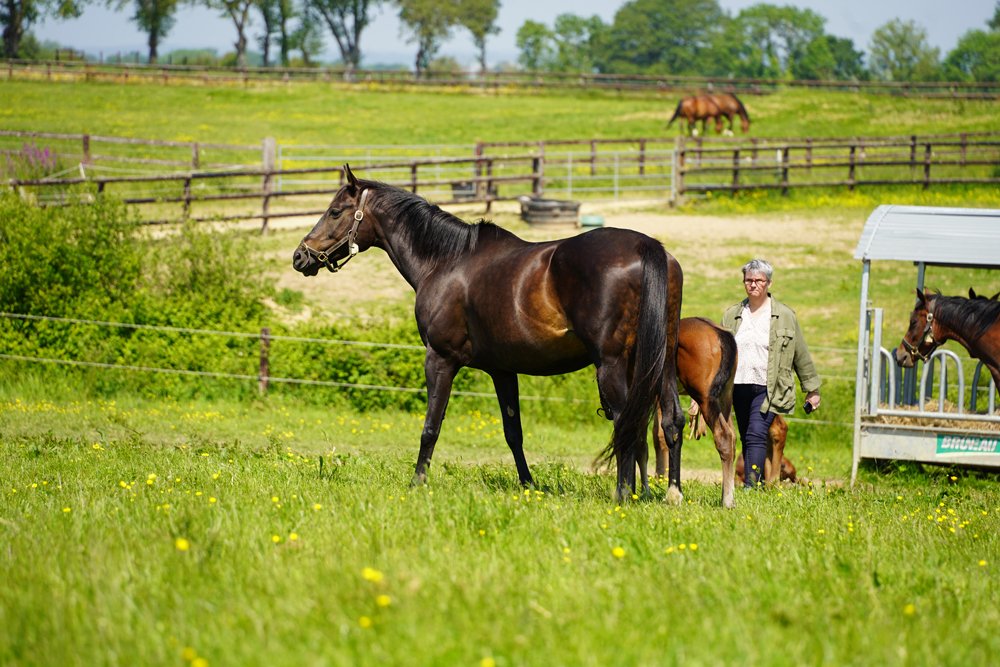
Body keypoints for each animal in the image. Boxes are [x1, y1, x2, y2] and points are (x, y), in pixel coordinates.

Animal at [292, 164, 686, 502]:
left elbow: (431, 426)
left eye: (335, 212)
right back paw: (669, 493)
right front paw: (528, 485)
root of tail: (646, 247)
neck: (446, 261)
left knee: (625, 422)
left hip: (611, 364)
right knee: (670, 420)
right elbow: (514, 433)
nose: (300, 257)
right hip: (660, 362)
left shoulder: (440, 359)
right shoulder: (503, 371)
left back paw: (624, 493)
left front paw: (417, 482)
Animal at [644, 317, 796, 507]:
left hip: (708, 398)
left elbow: (659, 436)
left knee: (731, 435)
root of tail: (720, 334)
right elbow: (658, 436)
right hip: (725, 398)